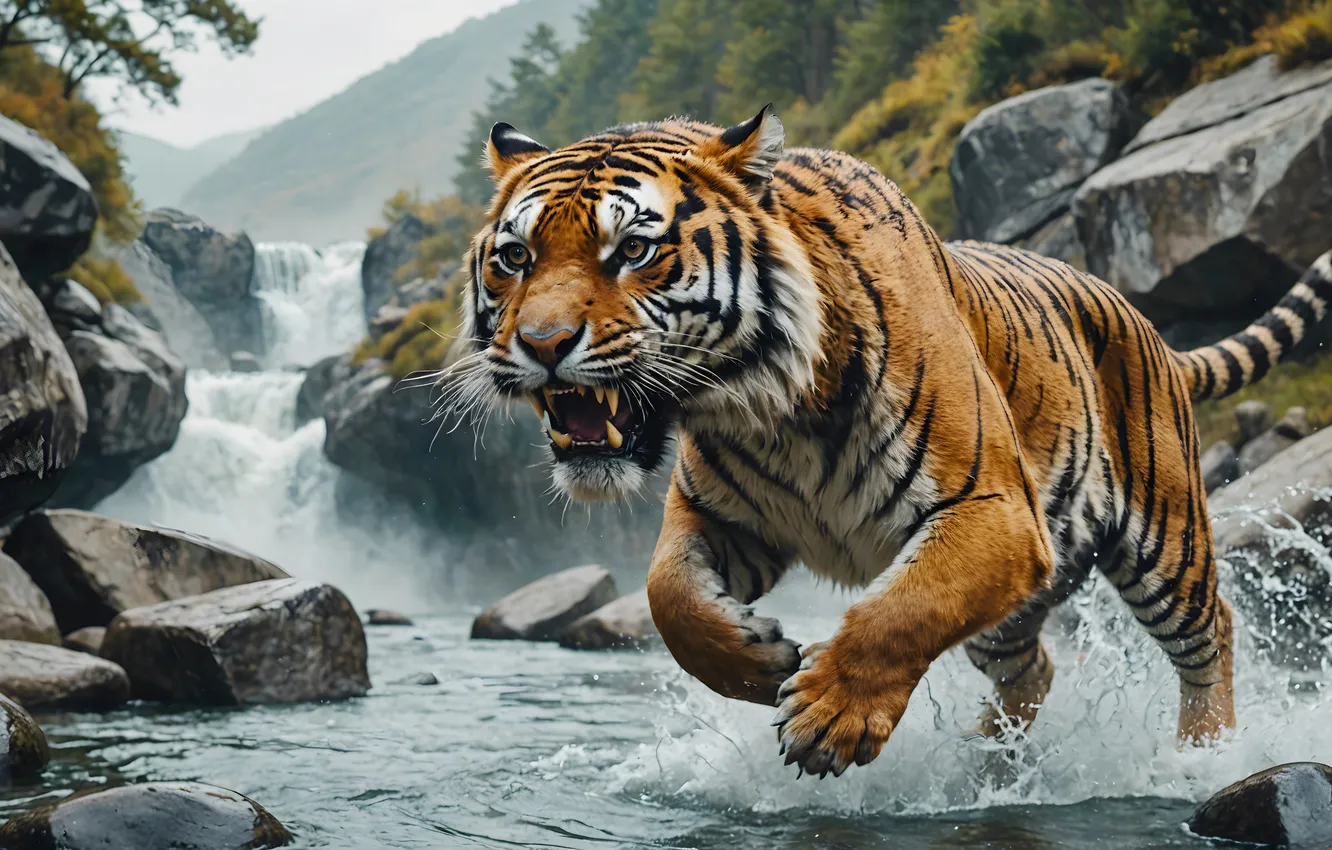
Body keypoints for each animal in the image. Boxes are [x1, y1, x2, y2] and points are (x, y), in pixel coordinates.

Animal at [446, 104, 1332, 779]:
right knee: (1033, 669)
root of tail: (1150, 326)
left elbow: (903, 611)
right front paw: (761, 659)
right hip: (1017, 614)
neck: (763, 406)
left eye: (632, 249)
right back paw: (986, 765)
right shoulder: (719, 517)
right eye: (515, 257)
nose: (542, 344)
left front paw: (828, 716)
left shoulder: (994, 510)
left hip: (1164, 539)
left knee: (1211, 631)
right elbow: (670, 599)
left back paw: (1203, 757)